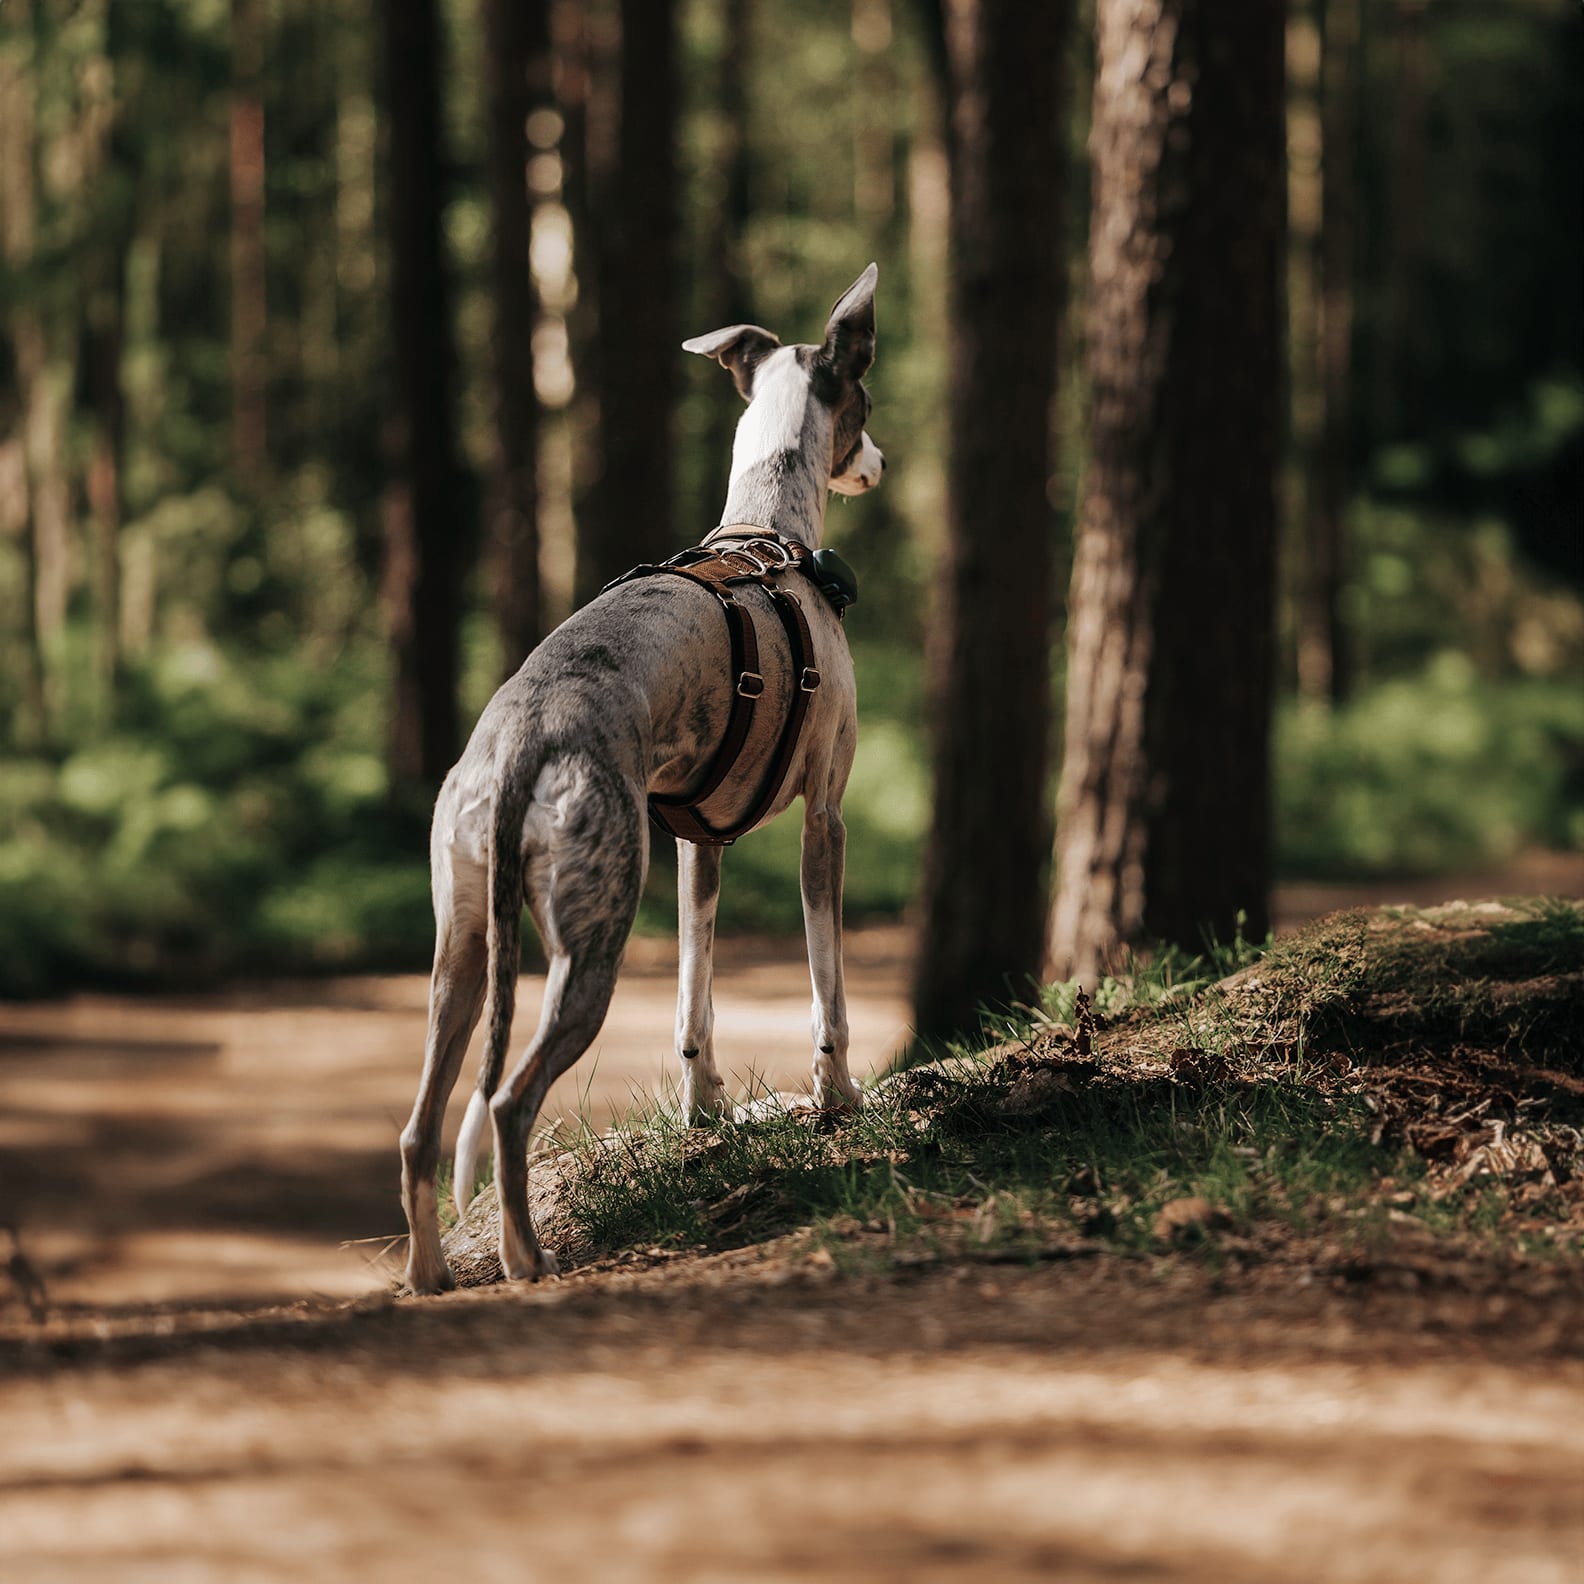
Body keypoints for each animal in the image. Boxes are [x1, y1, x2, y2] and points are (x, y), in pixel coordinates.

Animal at [396, 266, 887, 1292]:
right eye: (865, 398)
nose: (881, 462)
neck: (761, 532)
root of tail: (522, 742)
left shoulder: (701, 841)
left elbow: (695, 997)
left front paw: (707, 1109)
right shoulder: (825, 819)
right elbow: (827, 987)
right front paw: (838, 1094)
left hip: (462, 950)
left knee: (422, 1128)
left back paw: (430, 1276)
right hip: (591, 941)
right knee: (507, 1102)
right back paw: (525, 1257)